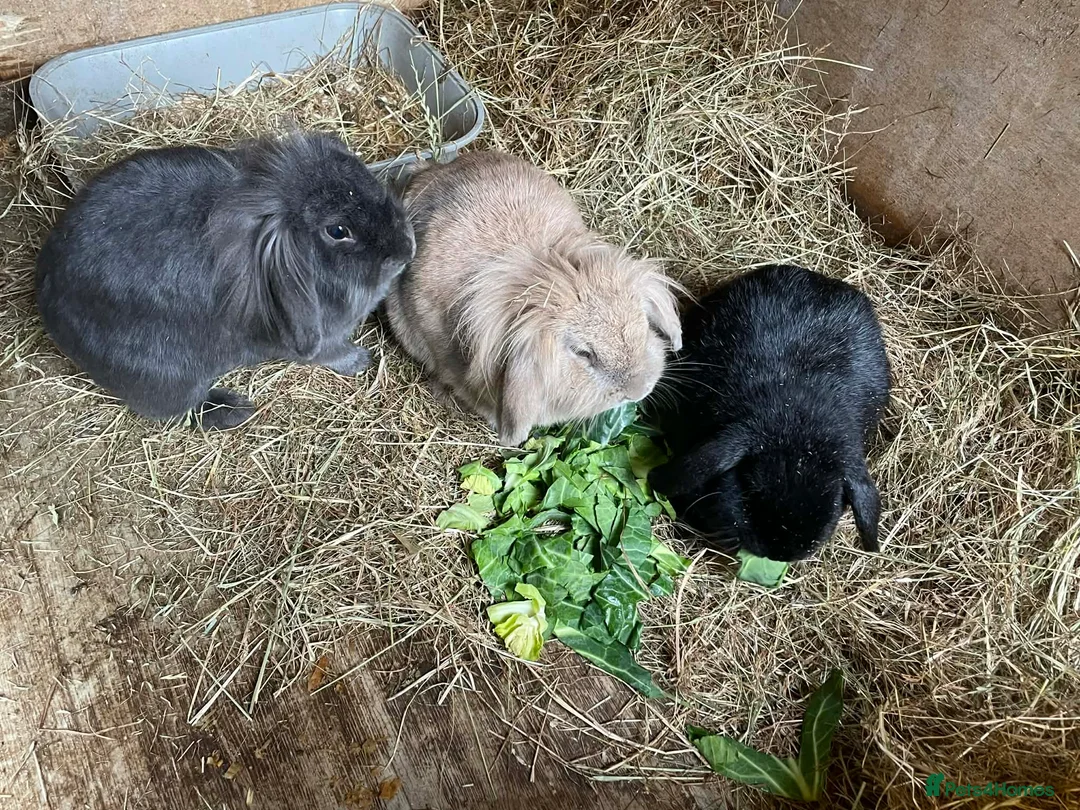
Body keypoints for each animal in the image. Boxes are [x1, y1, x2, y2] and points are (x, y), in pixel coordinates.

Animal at [35, 131, 415, 429]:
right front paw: (360, 361)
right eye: (337, 231)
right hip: (172, 381)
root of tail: (47, 299)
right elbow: (330, 352)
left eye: (367, 179)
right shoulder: (321, 338)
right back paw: (234, 410)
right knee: (180, 411)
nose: (407, 248)